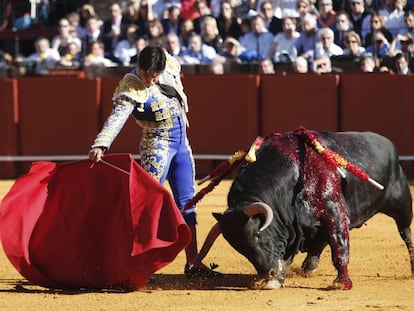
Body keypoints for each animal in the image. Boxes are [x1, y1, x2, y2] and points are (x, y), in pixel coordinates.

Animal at [195, 129, 414, 290]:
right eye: (238, 247)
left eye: (257, 234)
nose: (268, 272)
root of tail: (389, 145)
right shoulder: (292, 227)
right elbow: (286, 255)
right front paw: (275, 280)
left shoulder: (333, 212)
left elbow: (339, 245)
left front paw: (341, 283)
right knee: (319, 240)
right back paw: (309, 266)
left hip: (402, 203)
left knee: (406, 233)